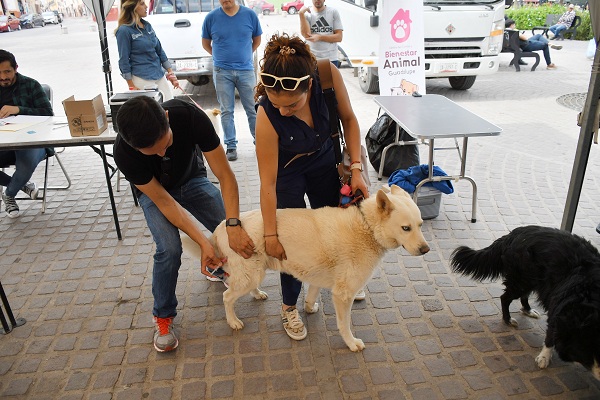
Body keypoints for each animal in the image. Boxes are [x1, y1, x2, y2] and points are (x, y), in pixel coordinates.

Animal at [180, 186, 428, 352]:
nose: (425, 249)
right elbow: (343, 324)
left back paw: (257, 294)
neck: (367, 227)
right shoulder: (343, 295)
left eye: (420, 225)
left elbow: (311, 295)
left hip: (254, 273)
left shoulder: (318, 276)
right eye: (406, 228)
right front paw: (351, 343)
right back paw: (233, 321)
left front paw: (309, 308)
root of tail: (222, 227)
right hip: (250, 275)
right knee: (227, 296)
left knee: (241, 289)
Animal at [450, 225, 600, 378]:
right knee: (505, 298)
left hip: (531, 280)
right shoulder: (559, 312)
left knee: (523, 296)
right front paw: (544, 357)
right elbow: (550, 337)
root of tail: (512, 234)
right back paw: (508, 319)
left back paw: (528, 310)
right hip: (522, 280)